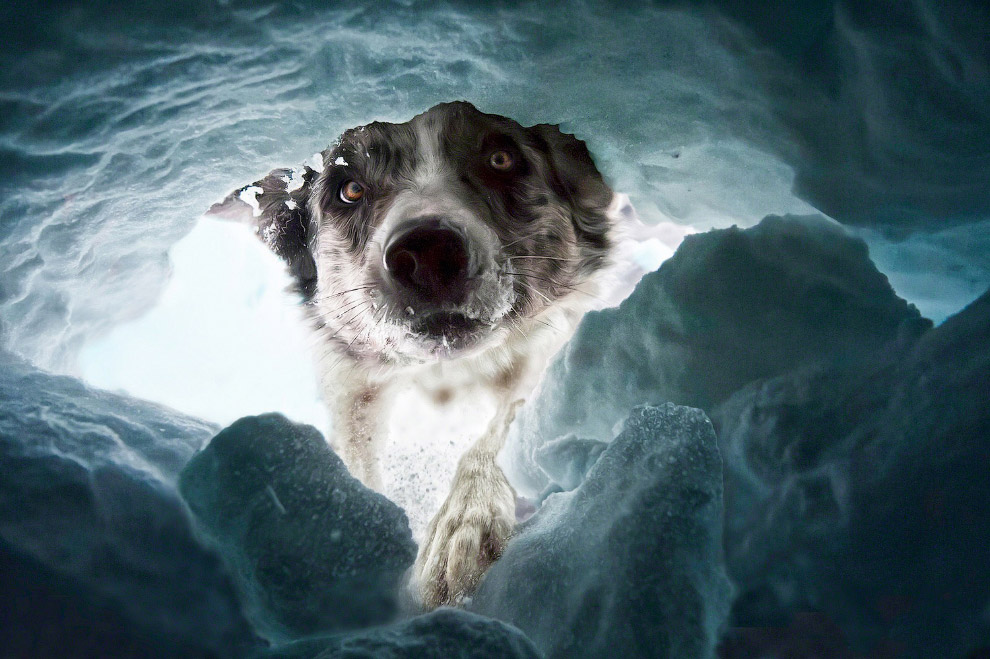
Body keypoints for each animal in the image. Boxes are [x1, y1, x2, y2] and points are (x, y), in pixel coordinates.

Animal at [210, 99, 620, 608]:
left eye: (501, 159)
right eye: (350, 189)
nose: (427, 254)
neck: (445, 376)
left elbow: (501, 425)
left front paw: (463, 522)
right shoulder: (357, 397)